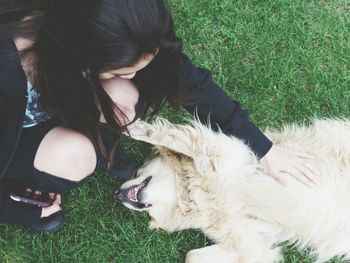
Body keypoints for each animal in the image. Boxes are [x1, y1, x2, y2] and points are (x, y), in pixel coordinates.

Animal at [116, 118, 350, 262]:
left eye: (137, 171)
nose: (116, 194)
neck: (193, 194)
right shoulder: (255, 242)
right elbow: (192, 255)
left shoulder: (223, 153)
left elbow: (174, 139)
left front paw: (137, 128)